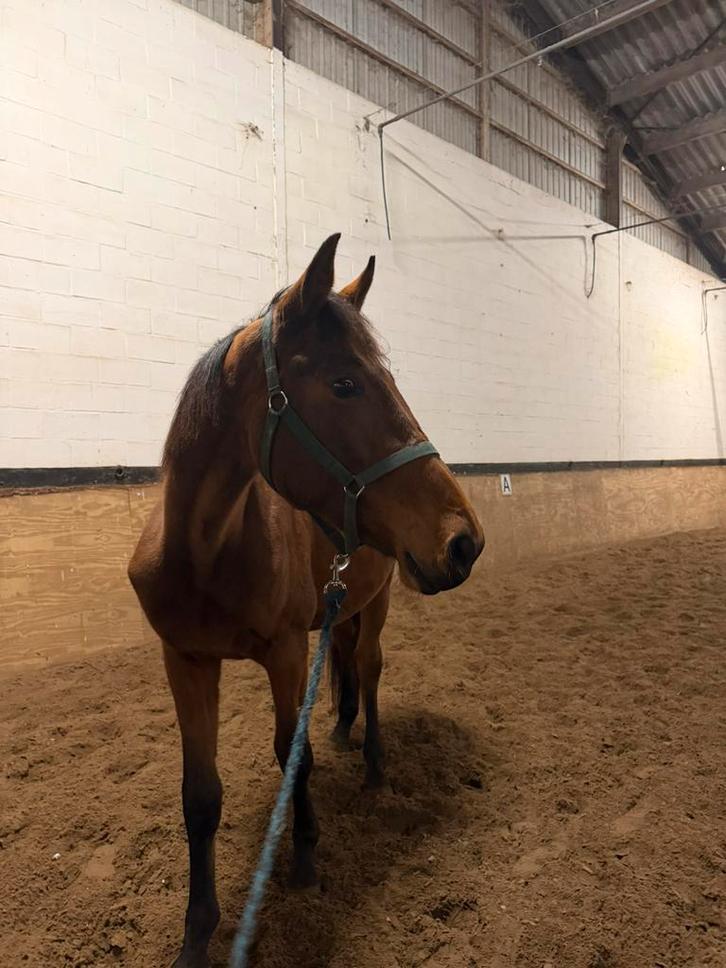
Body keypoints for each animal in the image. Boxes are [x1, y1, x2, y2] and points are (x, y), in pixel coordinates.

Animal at [128, 233, 484, 968]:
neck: (206, 551)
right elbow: (200, 796)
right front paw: (197, 931)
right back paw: (346, 728)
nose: (464, 540)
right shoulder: (185, 661)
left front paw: (305, 859)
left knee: (369, 670)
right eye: (345, 383)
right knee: (347, 664)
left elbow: (293, 756)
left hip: (378, 602)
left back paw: (372, 763)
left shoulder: (287, 654)